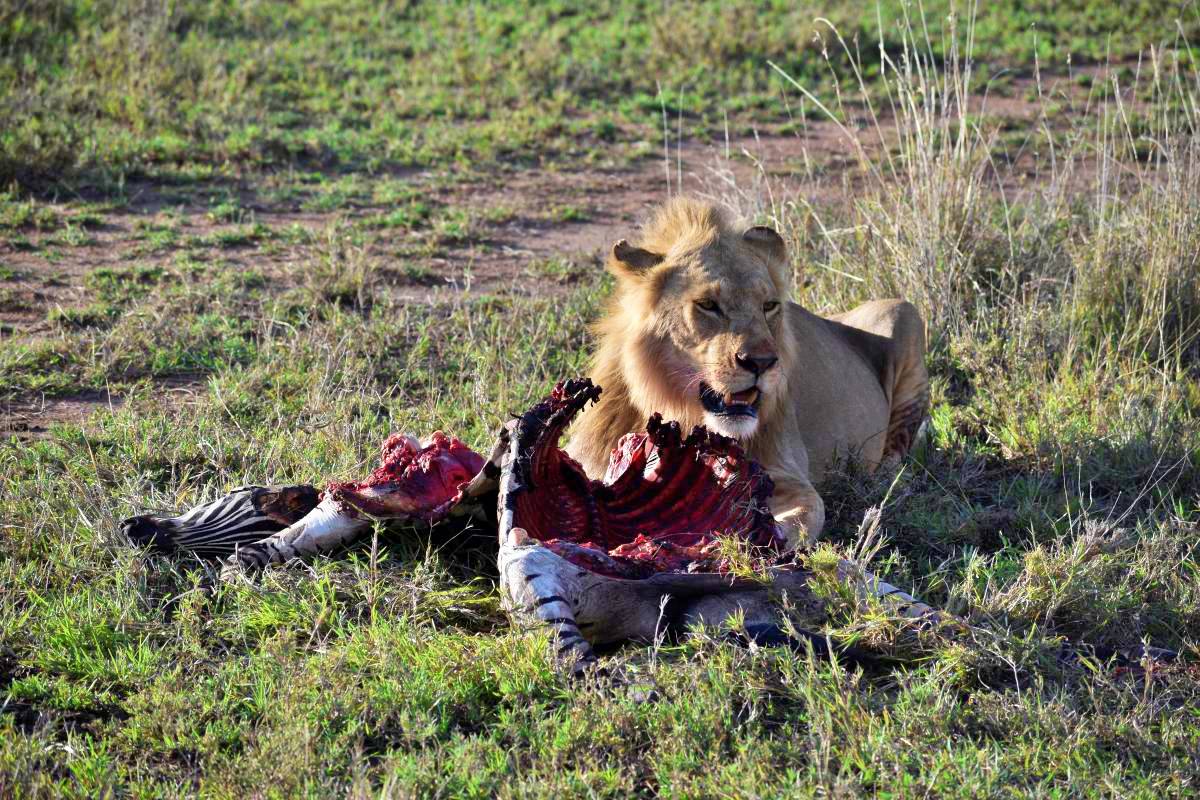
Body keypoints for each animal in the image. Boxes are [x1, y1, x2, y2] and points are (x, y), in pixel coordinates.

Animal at [561, 199, 926, 551]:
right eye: (708, 305)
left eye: (769, 306)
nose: (762, 362)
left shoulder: (786, 476)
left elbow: (803, 516)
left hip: (903, 313)